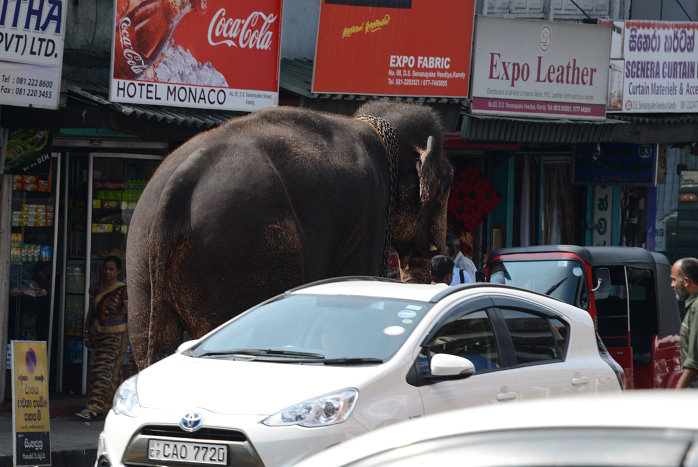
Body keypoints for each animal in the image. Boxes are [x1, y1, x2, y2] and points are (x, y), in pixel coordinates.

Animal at [125, 101, 452, 370]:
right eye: (446, 187)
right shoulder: (369, 214)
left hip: (141, 258)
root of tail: (181, 181)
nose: (443, 264)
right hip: (237, 252)